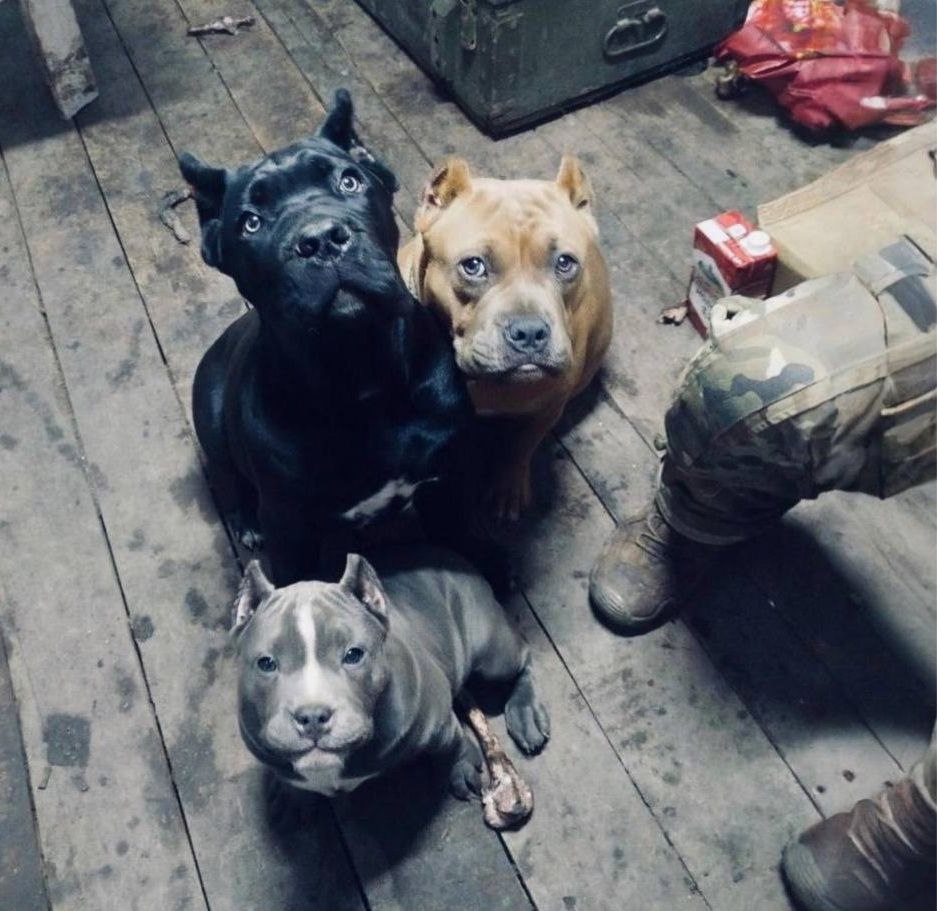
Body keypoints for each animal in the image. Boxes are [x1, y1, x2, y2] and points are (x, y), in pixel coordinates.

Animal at [180, 91, 477, 585]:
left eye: (350, 181)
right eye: (250, 223)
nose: (319, 239)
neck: (362, 376)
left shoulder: (449, 483)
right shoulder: (290, 529)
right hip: (212, 426)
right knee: (228, 482)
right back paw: (246, 525)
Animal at [232, 547, 549, 798]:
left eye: (354, 655)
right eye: (266, 663)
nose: (311, 716)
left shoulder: (438, 721)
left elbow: (453, 743)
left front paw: (461, 768)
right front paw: (288, 795)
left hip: (492, 652)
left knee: (524, 658)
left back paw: (526, 715)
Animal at [399, 156, 613, 519]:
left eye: (565, 263)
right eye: (473, 266)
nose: (530, 333)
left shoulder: (547, 408)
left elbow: (521, 446)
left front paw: (508, 487)